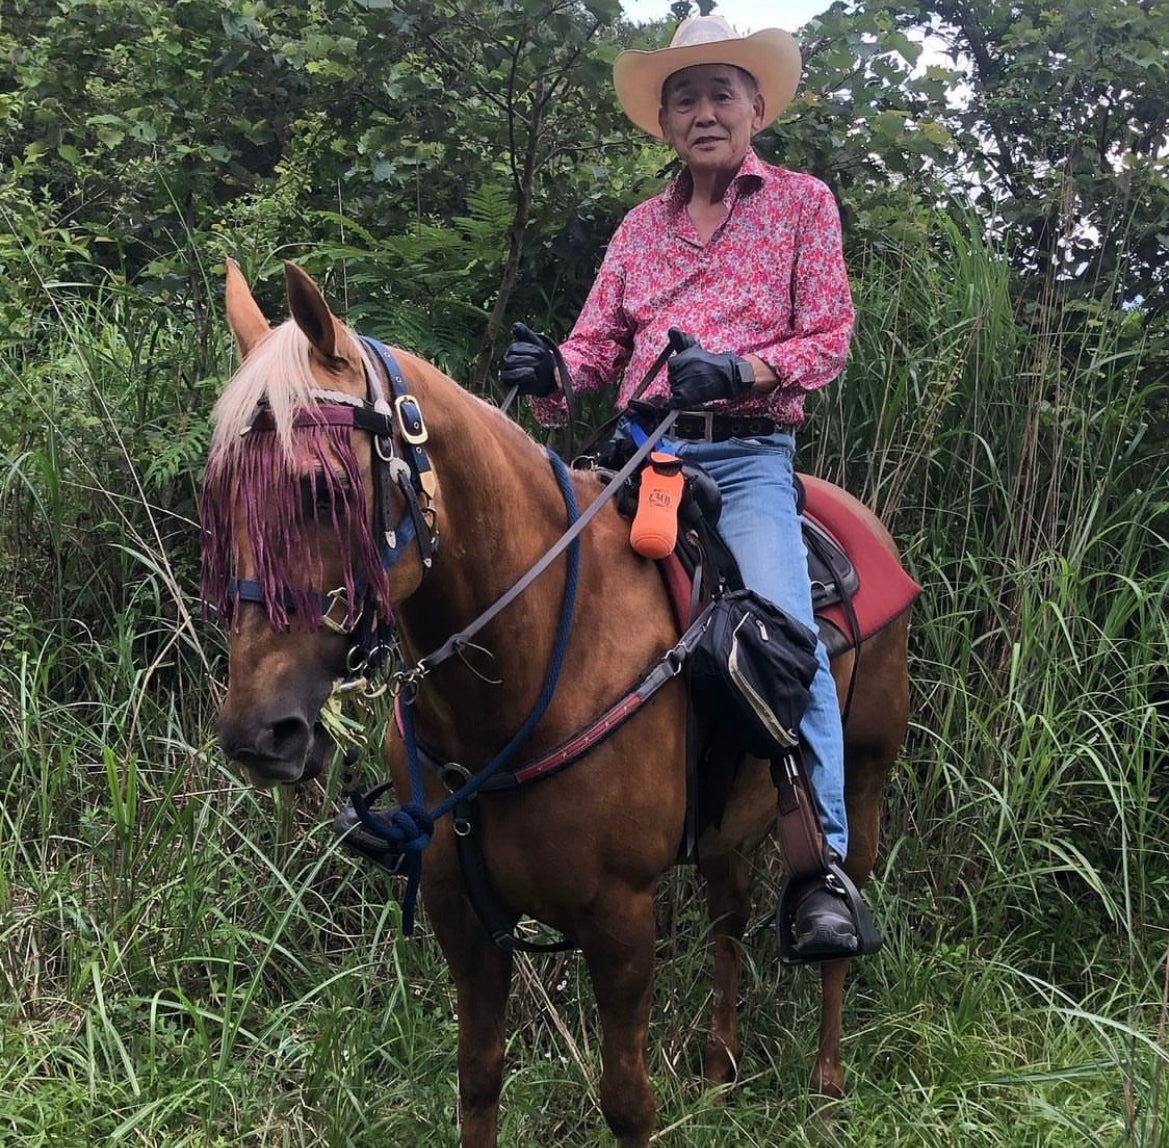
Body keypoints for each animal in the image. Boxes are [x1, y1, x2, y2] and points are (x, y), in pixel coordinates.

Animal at [202, 258, 914, 1148]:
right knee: (728, 916)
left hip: (866, 776)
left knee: (837, 906)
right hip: (728, 825)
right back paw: (718, 1070)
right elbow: (477, 1082)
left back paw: (824, 1077)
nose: (261, 731)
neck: (529, 666)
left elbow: (627, 1103)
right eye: (221, 491)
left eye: (326, 490)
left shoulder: (621, 922)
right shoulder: (462, 918)